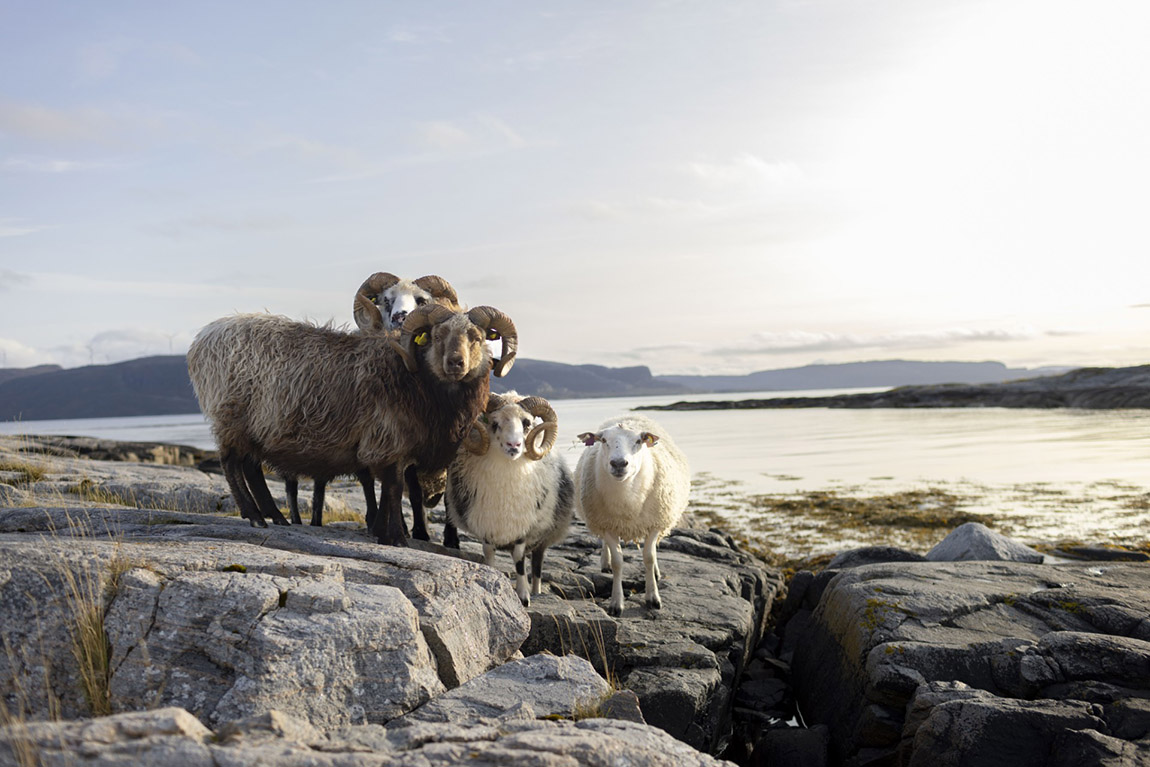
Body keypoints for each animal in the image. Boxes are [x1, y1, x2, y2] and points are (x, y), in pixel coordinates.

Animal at [188, 303, 517, 542]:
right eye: (437, 336)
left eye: (477, 338)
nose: (456, 363)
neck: (415, 378)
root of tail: (201, 340)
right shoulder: (387, 440)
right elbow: (394, 488)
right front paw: (395, 537)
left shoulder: (390, 447)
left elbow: (385, 489)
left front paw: (382, 531)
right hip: (232, 416)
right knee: (232, 464)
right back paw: (255, 517)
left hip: (256, 428)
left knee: (251, 468)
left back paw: (275, 517)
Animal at [448, 395, 575, 607]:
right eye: (494, 423)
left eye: (527, 423)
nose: (513, 446)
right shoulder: (487, 524)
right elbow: (488, 553)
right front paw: (490, 576)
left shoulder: (523, 526)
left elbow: (519, 558)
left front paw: (523, 596)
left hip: (545, 535)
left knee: (537, 564)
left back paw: (536, 590)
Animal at [572, 413, 685, 616]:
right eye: (603, 440)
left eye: (639, 441)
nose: (618, 463)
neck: (627, 501)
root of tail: (630, 415)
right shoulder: (607, 524)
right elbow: (618, 562)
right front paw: (616, 603)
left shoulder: (655, 523)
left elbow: (649, 557)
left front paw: (653, 598)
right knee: (605, 545)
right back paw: (605, 563)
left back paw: (656, 572)